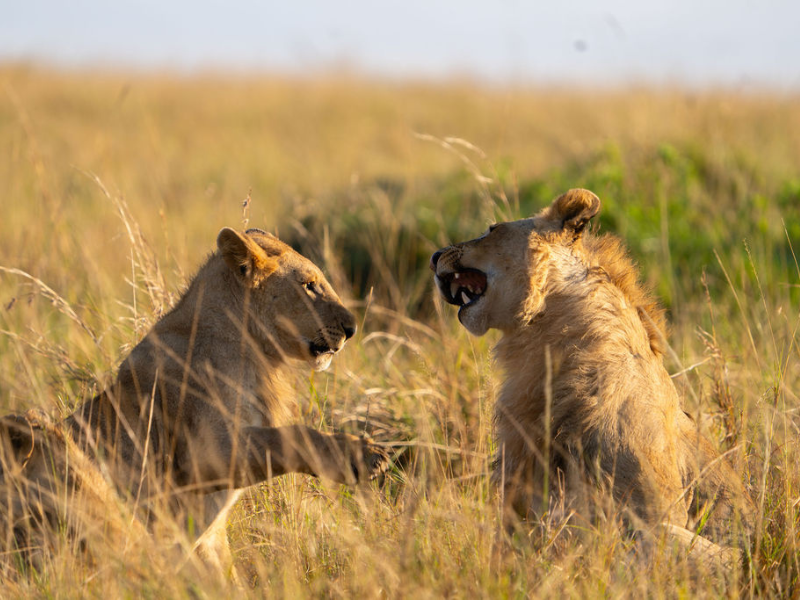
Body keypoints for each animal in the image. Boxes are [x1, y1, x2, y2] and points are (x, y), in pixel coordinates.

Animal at [0, 227, 389, 574]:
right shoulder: (205, 452)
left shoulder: (210, 537)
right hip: (47, 444)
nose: (352, 328)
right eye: (309, 285)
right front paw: (363, 455)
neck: (258, 353)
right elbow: (290, 436)